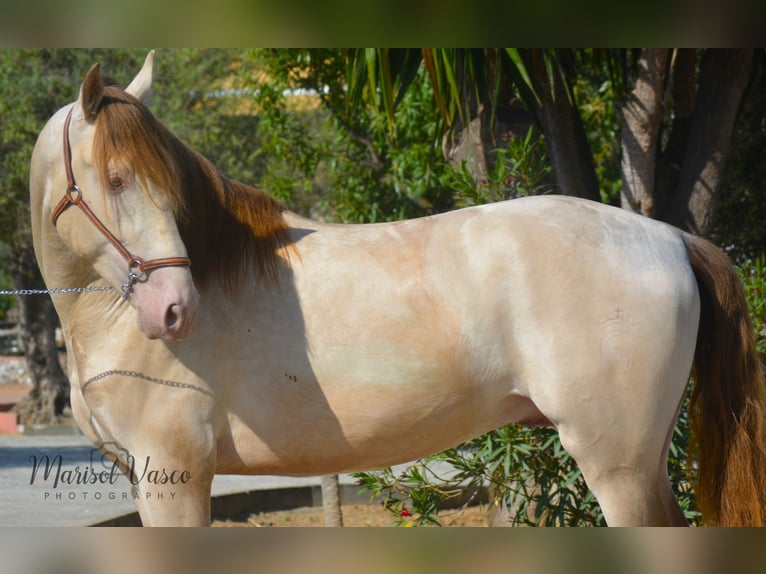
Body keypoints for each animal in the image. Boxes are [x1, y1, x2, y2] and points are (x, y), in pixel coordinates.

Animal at [28, 51, 766, 528]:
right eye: (117, 178)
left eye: (165, 182)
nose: (173, 308)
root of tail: (668, 237)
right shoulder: (147, 478)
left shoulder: (174, 477)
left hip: (618, 465)